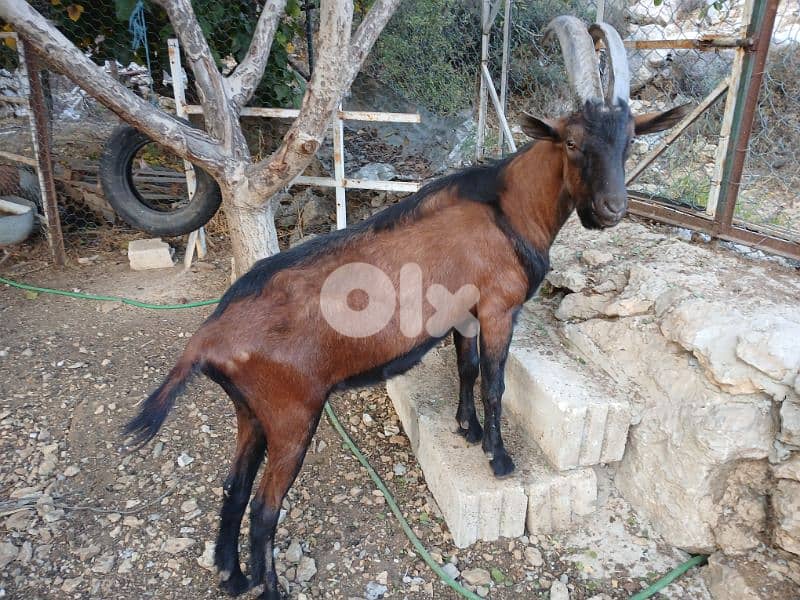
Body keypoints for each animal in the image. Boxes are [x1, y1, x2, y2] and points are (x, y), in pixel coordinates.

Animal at [124, 16, 690, 600]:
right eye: (573, 142)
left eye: (630, 141)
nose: (611, 209)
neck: (507, 208)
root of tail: (207, 339)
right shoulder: (498, 308)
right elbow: (493, 383)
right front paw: (498, 457)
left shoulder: (466, 309)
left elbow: (466, 368)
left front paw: (465, 430)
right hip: (291, 415)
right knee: (264, 507)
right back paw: (270, 587)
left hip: (251, 413)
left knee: (233, 489)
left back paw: (232, 575)